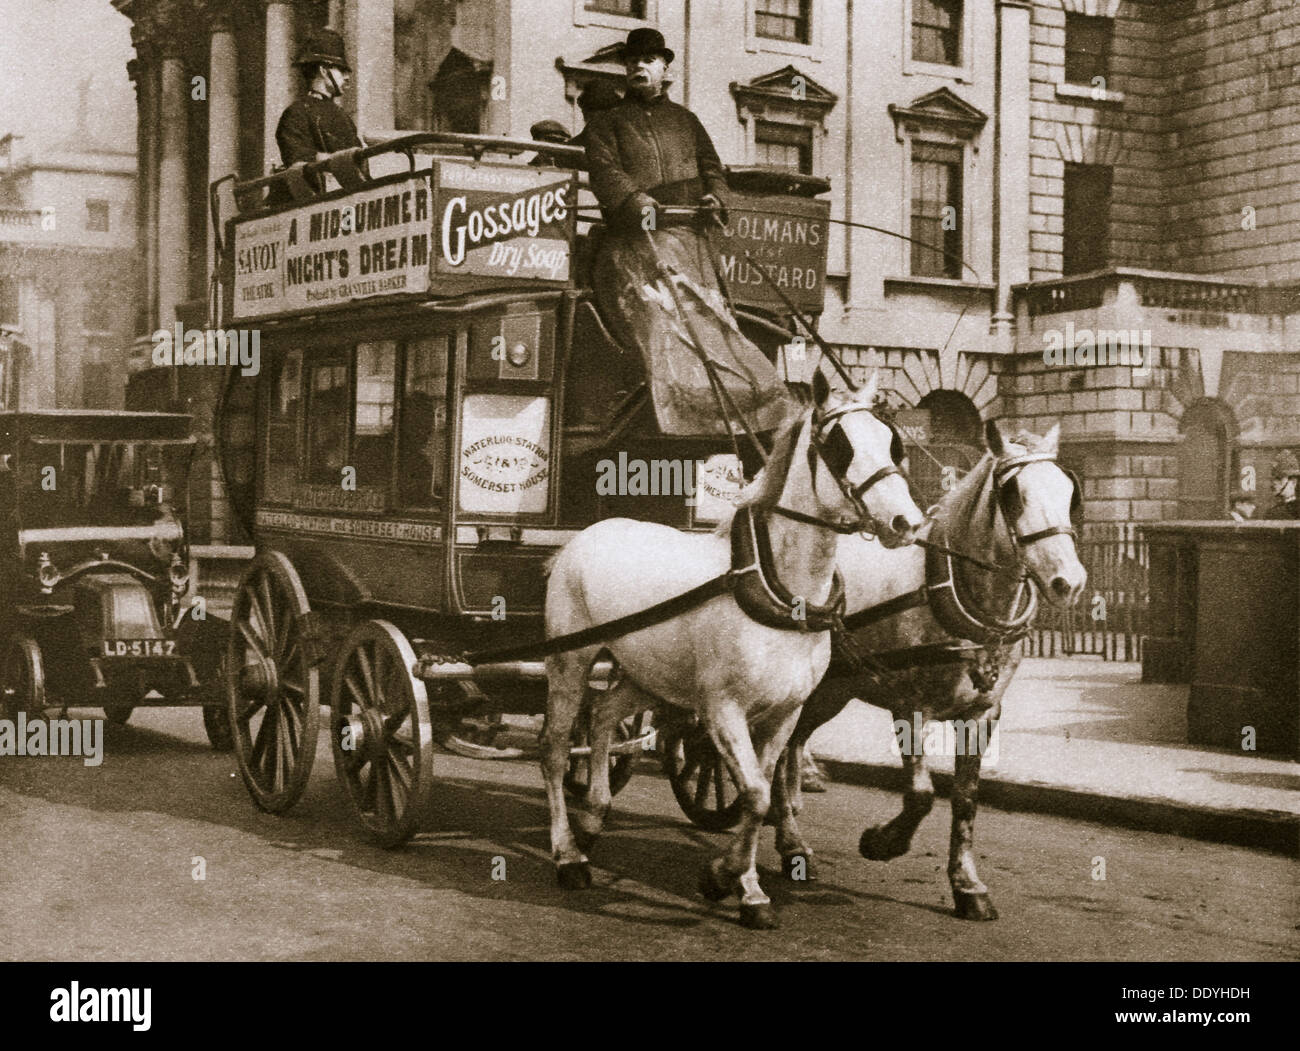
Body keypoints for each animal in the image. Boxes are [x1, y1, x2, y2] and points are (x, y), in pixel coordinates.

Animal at [538, 372, 925, 926]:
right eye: (839, 445)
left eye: (892, 442)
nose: (906, 523)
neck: (783, 590)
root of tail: (580, 539)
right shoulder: (722, 708)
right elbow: (758, 796)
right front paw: (728, 879)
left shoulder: (785, 711)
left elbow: (755, 794)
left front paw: (741, 885)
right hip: (570, 661)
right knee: (553, 748)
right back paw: (568, 853)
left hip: (649, 674)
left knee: (606, 715)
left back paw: (592, 816)